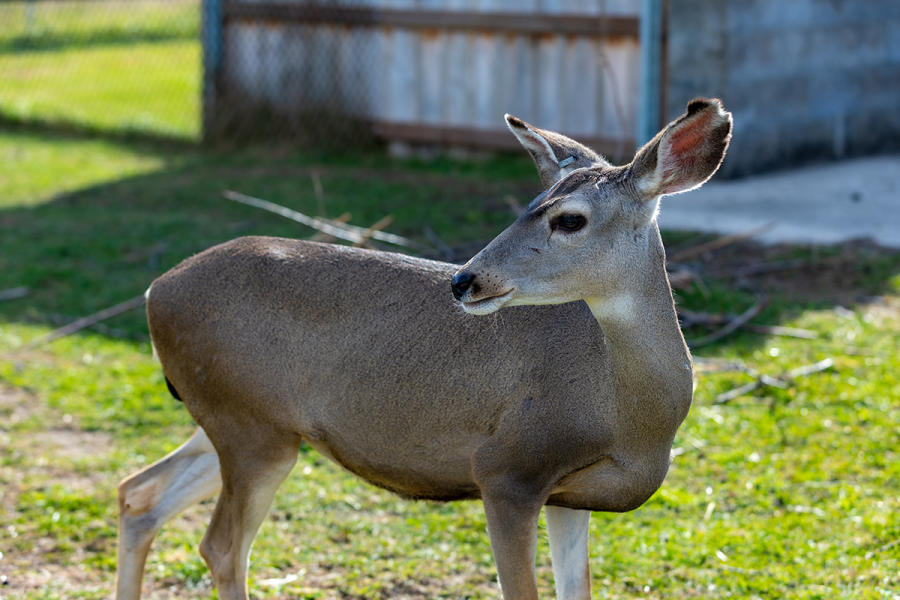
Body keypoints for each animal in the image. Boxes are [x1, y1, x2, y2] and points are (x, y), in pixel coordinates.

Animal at [115, 98, 732, 600]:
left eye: (570, 218)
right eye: (529, 202)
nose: (464, 280)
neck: (629, 417)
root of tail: (154, 291)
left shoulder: (569, 497)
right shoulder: (508, 468)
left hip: (241, 418)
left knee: (138, 493)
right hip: (250, 427)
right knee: (220, 547)